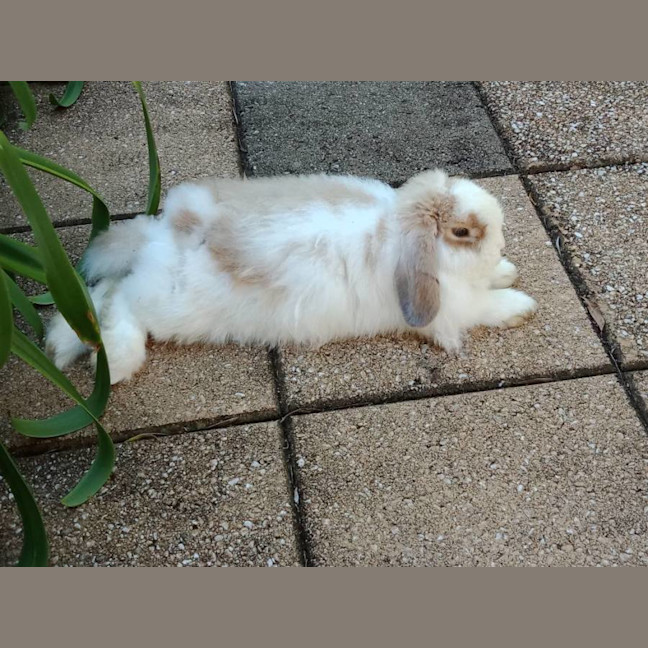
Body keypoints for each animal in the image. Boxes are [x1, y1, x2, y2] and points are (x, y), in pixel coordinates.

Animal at [46, 169, 537, 384]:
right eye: (462, 232)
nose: (501, 246)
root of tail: (163, 237)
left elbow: (491, 282)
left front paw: (506, 270)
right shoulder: (452, 308)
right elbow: (486, 306)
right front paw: (523, 306)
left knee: (106, 290)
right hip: (169, 305)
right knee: (122, 301)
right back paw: (114, 363)